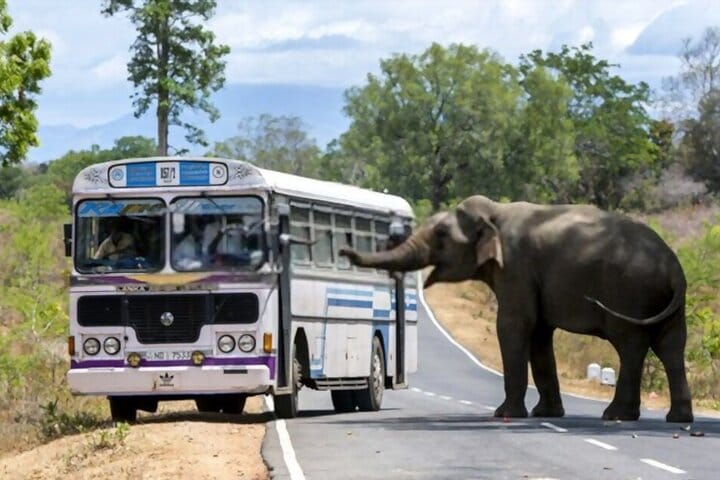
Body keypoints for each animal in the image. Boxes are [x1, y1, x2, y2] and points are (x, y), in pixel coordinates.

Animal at [340, 195, 693, 422]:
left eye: (441, 234)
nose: (344, 248)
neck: (495, 212)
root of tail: (674, 265)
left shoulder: (516, 267)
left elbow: (513, 325)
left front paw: (505, 415)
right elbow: (538, 334)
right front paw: (545, 414)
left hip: (628, 293)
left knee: (631, 346)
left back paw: (616, 416)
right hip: (662, 301)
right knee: (672, 347)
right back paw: (676, 419)